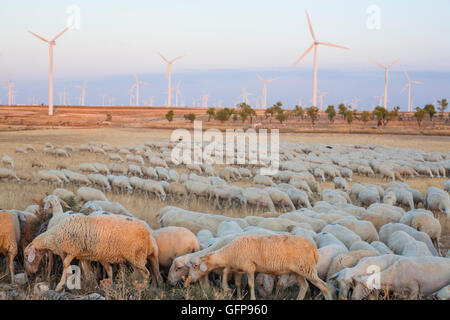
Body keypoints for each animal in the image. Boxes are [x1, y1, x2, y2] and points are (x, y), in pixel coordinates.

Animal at [24, 214, 161, 292]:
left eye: (26, 256)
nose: (30, 272)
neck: (56, 236)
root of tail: (148, 233)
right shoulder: (83, 255)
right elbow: (87, 271)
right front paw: (91, 285)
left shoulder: (73, 250)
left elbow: (65, 264)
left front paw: (59, 285)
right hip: (141, 257)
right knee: (151, 273)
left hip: (137, 257)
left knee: (146, 273)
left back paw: (143, 287)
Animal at [187, 235, 334, 300]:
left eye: (195, 266)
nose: (187, 282)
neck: (229, 253)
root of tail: (314, 248)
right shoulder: (238, 268)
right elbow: (228, 274)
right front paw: (230, 291)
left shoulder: (249, 267)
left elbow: (251, 285)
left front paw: (251, 298)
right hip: (298, 271)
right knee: (304, 286)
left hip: (307, 268)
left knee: (324, 286)